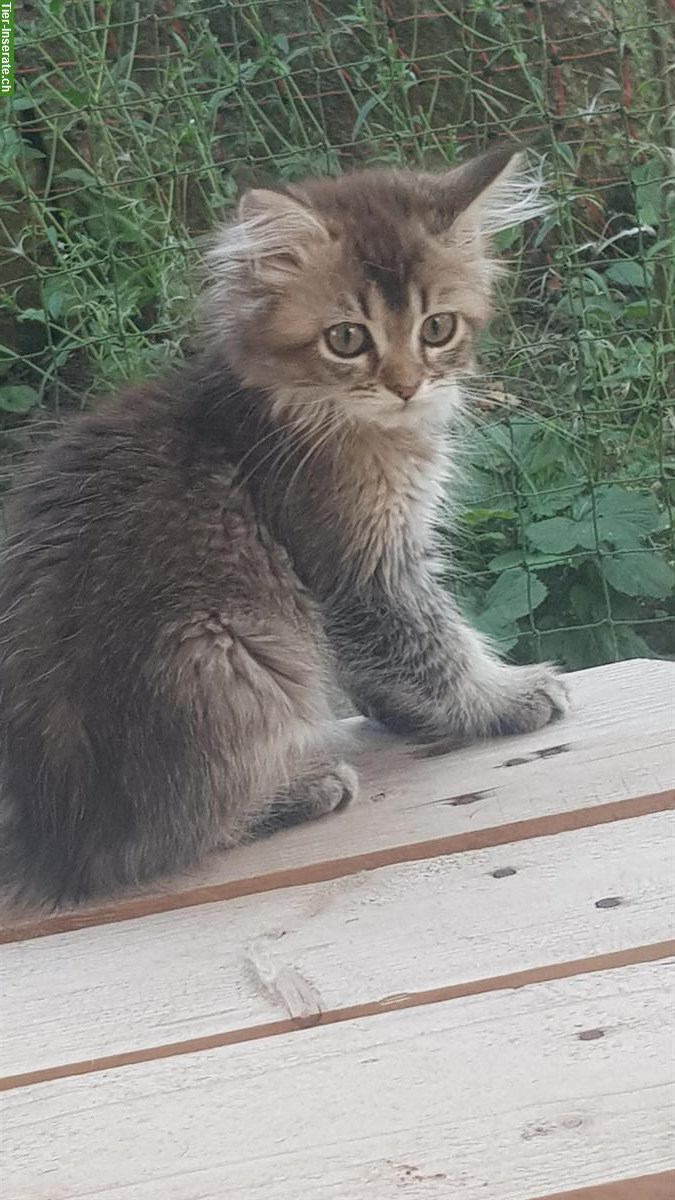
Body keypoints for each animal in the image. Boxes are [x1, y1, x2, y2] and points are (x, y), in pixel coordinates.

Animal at [0, 142, 566, 907]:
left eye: (437, 328)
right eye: (347, 338)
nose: (405, 385)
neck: (301, 407)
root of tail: (46, 834)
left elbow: (385, 664)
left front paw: (407, 714)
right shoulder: (359, 572)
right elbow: (432, 647)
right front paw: (505, 696)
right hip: (226, 652)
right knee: (153, 844)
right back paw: (298, 788)